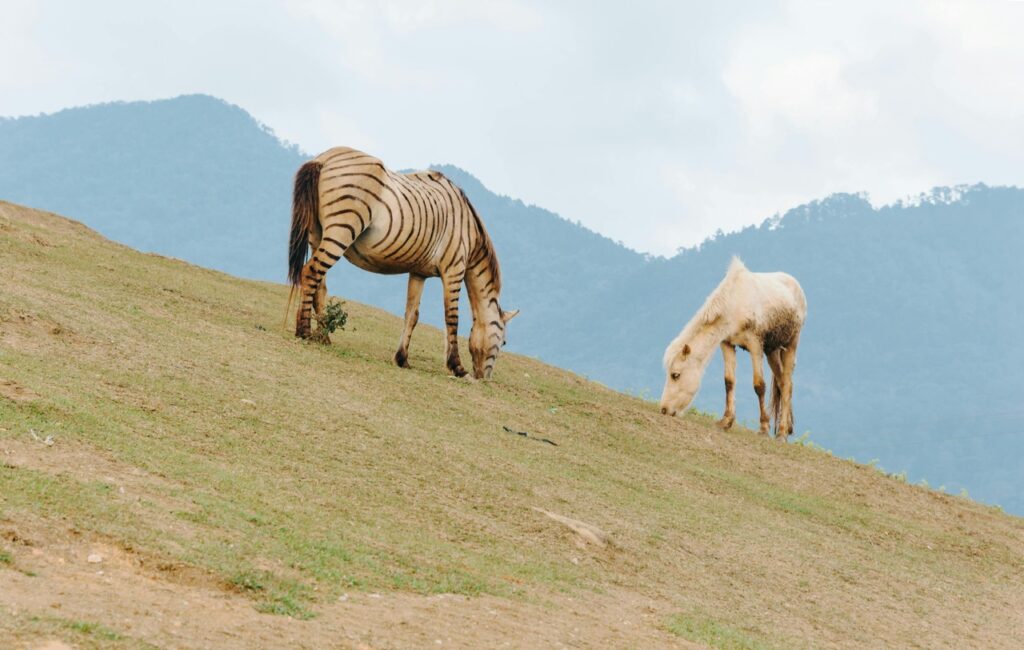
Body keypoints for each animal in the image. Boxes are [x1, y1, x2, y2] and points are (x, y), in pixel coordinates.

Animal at [288, 147, 519, 379]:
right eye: (504, 342)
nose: (484, 379)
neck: (469, 233)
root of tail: (324, 158)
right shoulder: (454, 270)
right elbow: (451, 318)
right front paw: (457, 367)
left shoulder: (419, 272)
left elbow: (412, 315)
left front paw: (402, 359)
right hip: (341, 230)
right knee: (310, 273)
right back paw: (304, 331)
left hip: (317, 235)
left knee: (319, 284)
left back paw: (323, 337)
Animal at [659, 257, 806, 439]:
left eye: (675, 375)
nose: (664, 409)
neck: (734, 305)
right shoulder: (727, 344)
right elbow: (729, 382)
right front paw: (726, 421)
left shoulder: (755, 345)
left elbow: (759, 386)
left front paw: (763, 427)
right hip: (772, 351)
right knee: (782, 381)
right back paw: (787, 427)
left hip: (791, 344)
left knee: (786, 384)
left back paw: (782, 432)